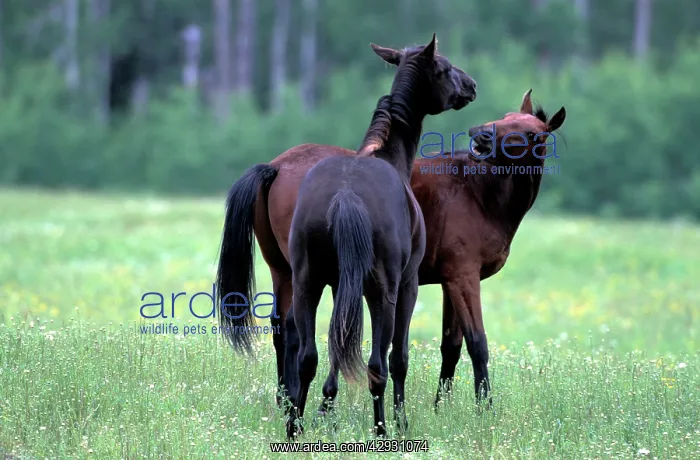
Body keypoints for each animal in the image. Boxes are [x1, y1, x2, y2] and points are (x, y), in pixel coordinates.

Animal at [283, 33, 476, 438]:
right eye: (445, 67)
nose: (470, 85)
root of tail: (346, 195)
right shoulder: (407, 284)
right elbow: (398, 357)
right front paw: (402, 422)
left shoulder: (340, 286)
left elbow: (336, 346)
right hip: (382, 291)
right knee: (377, 365)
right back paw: (384, 429)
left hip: (307, 283)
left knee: (308, 357)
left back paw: (295, 428)